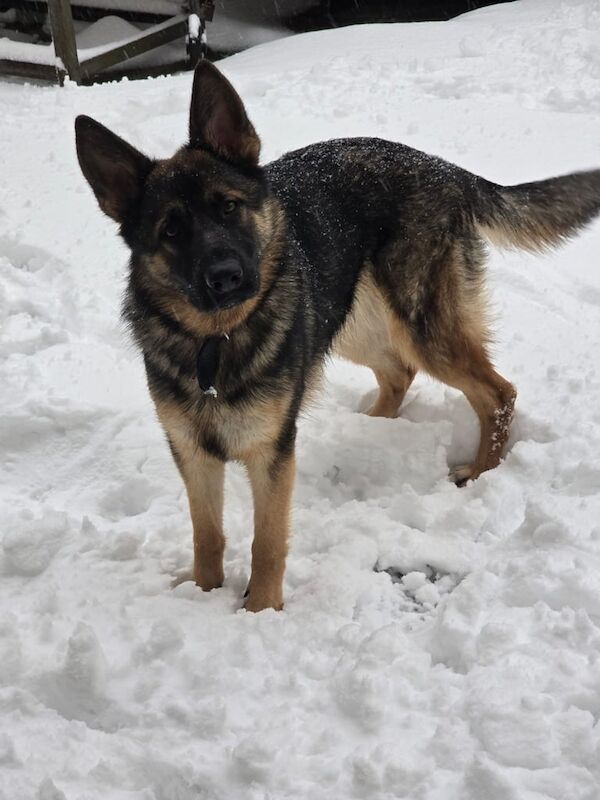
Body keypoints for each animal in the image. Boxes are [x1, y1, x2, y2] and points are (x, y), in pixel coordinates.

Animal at [74, 61, 600, 612]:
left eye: (229, 208)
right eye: (171, 231)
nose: (227, 277)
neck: (215, 340)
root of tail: (443, 167)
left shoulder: (272, 455)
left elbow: (267, 541)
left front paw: (261, 613)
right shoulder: (193, 453)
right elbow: (207, 535)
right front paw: (202, 593)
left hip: (417, 325)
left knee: (497, 392)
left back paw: (479, 473)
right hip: (347, 319)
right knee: (399, 372)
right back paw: (375, 425)